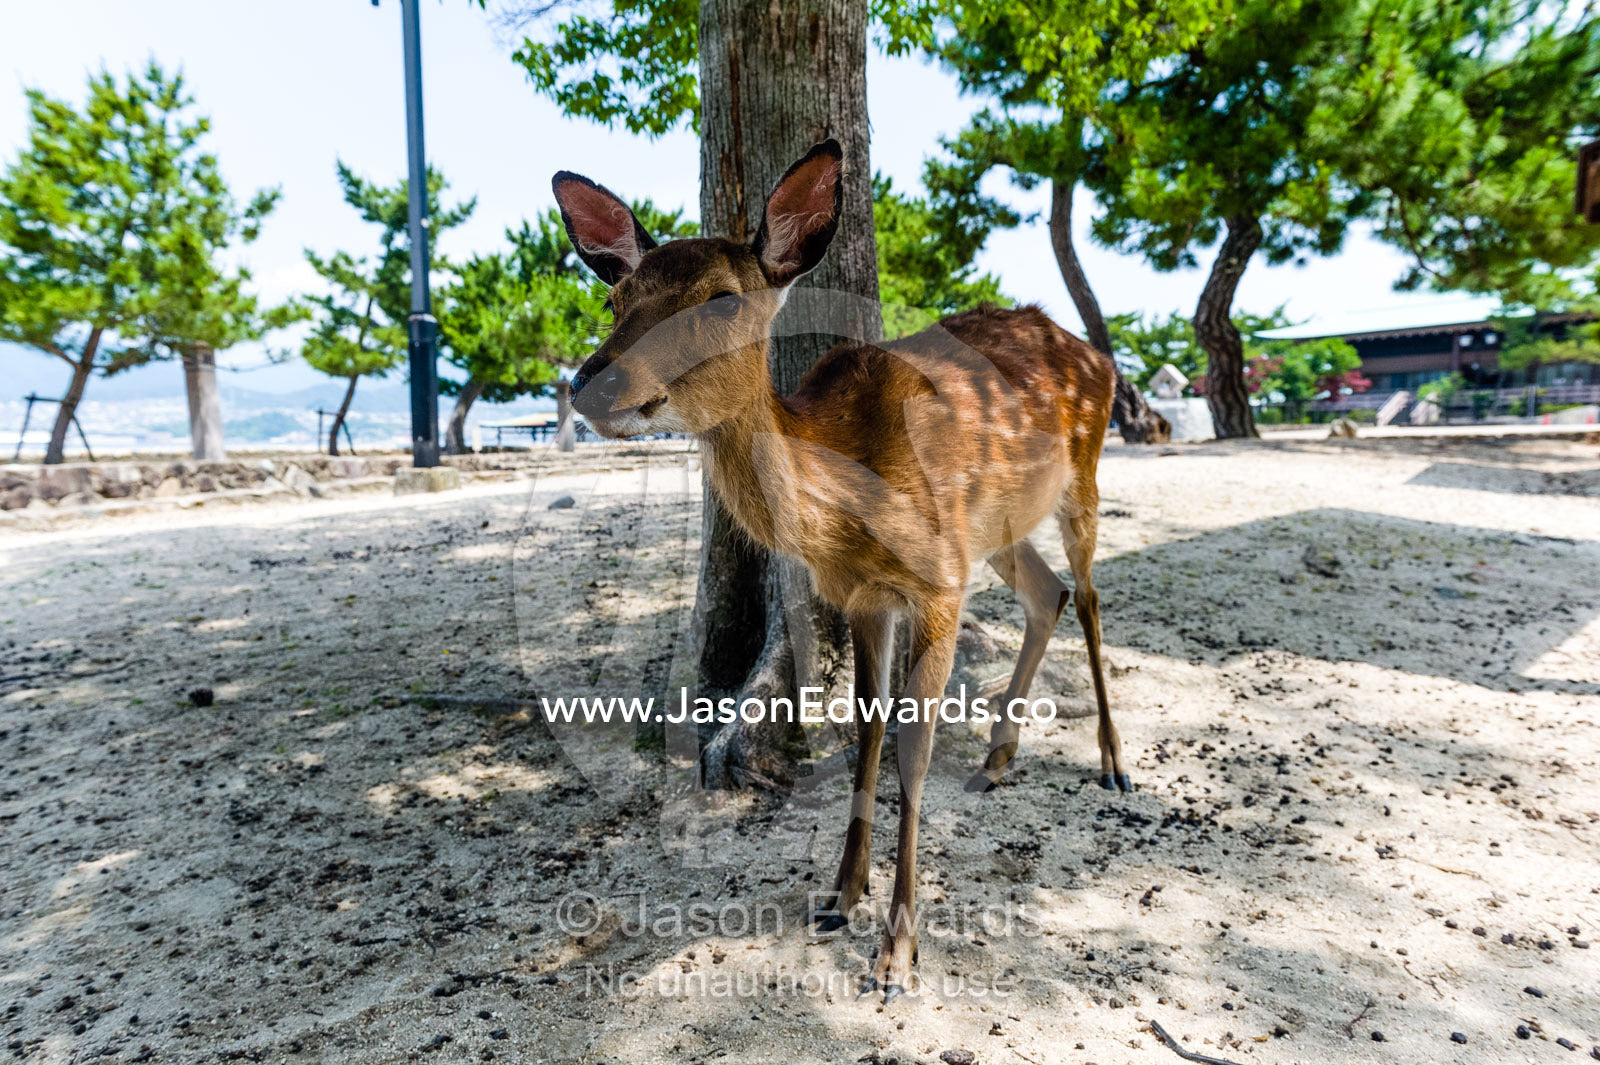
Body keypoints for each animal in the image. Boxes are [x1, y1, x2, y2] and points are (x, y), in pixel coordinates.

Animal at [551, 139, 1129, 1004]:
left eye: (721, 302)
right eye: (618, 296)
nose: (593, 382)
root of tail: (1095, 351)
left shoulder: (937, 583)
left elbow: (913, 743)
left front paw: (898, 952)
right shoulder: (862, 594)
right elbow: (867, 726)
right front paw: (838, 895)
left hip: (1083, 470)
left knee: (1088, 593)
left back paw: (1114, 764)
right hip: (995, 528)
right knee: (1047, 592)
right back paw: (996, 759)